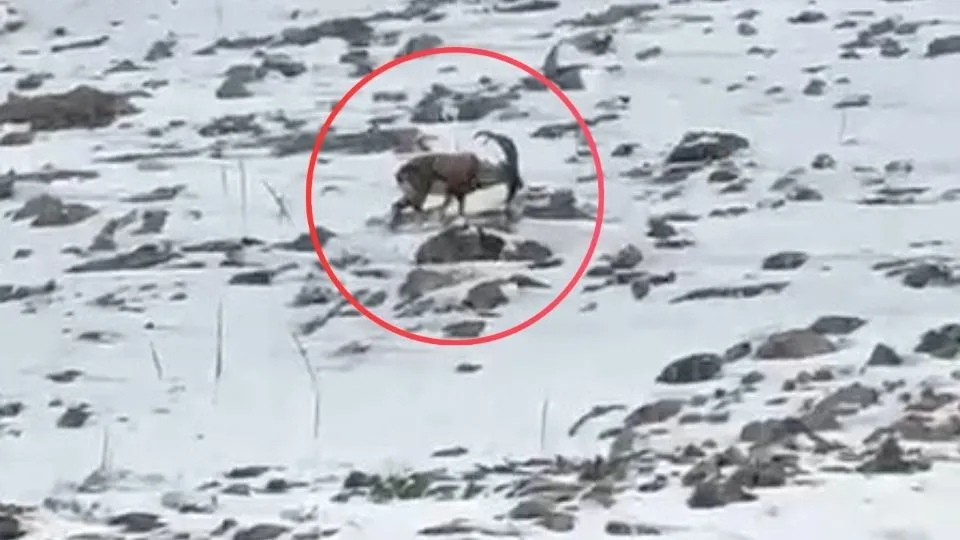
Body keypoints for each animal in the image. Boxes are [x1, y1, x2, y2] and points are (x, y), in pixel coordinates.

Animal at [388, 130, 524, 229]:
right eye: (510, 170)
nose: (520, 183)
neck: (477, 170)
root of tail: (400, 172)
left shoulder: (459, 195)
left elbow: (458, 210)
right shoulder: (452, 190)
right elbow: (447, 209)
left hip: (410, 194)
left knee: (396, 205)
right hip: (420, 193)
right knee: (417, 209)